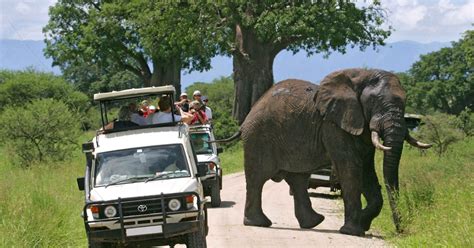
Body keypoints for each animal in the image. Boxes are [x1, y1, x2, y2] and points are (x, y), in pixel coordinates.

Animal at [217, 68, 432, 236]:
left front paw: (362, 223)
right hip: (259, 138)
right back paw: (259, 223)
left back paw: (313, 222)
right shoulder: (333, 125)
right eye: (375, 101)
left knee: (298, 179)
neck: (361, 76)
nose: (401, 230)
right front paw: (353, 231)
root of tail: (246, 117)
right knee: (258, 178)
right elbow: (351, 167)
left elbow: (366, 171)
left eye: (405, 101)